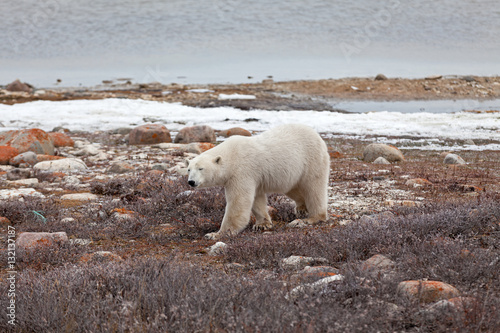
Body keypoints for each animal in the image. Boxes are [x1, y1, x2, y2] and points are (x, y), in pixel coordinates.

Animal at [186, 122, 330, 239]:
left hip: (312, 160)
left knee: (314, 189)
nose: (191, 182)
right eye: (189, 169)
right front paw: (262, 224)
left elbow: (238, 203)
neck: (231, 156)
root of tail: (316, 135)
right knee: (293, 188)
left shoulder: (241, 172)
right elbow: (256, 199)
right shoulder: (253, 178)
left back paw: (311, 218)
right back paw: (301, 208)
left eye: (201, 168)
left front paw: (215, 234)